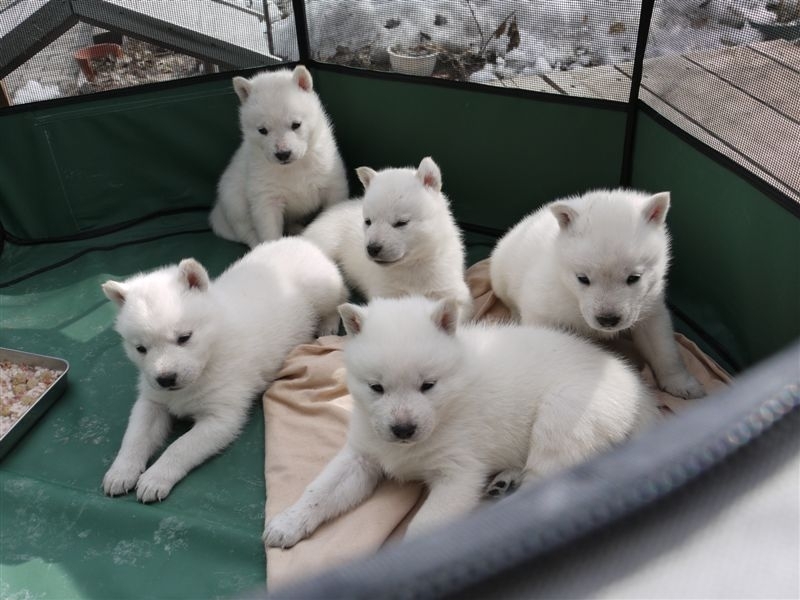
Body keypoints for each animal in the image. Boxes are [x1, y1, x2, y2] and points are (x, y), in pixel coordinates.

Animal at [101, 237, 346, 504]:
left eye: (184, 337)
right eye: (140, 348)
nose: (166, 379)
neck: (209, 359)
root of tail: (303, 241)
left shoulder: (221, 416)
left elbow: (181, 446)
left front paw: (155, 478)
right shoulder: (152, 399)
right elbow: (135, 435)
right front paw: (121, 470)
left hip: (323, 290)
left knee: (336, 302)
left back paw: (328, 325)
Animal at [211, 68, 348, 248]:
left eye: (296, 124)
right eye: (262, 130)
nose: (283, 154)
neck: (293, 167)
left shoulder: (333, 185)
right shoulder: (266, 198)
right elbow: (269, 230)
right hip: (234, 202)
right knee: (246, 231)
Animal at [262, 296, 656, 548]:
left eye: (428, 385)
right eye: (376, 387)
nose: (402, 430)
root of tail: (637, 389)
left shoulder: (459, 471)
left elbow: (426, 524)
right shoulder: (362, 452)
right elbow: (321, 490)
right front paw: (288, 521)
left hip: (566, 414)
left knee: (546, 479)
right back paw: (506, 479)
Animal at [304, 158, 472, 318]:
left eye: (401, 222)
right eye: (368, 221)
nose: (372, 248)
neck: (412, 267)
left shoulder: (449, 286)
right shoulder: (386, 291)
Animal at [490, 190, 704, 400]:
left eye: (634, 277)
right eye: (582, 278)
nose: (608, 320)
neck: (571, 294)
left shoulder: (649, 306)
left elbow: (662, 346)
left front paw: (682, 384)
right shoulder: (543, 304)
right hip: (501, 273)